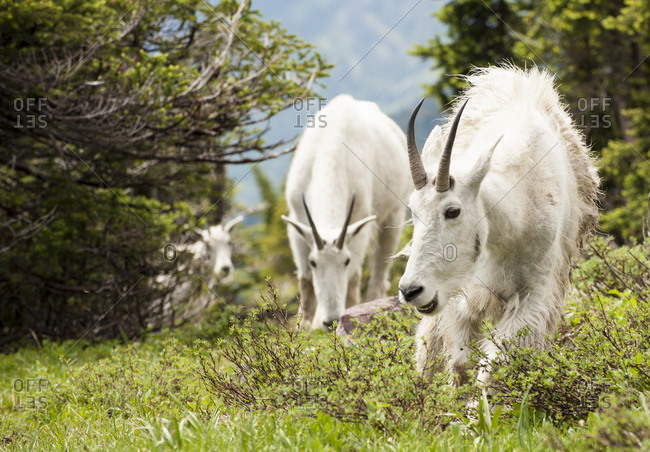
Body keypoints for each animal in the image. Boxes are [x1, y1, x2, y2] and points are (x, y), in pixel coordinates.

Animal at [283, 94, 411, 330]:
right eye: (314, 262)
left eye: (346, 261)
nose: (331, 320)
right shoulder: (297, 222)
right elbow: (305, 280)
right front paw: (304, 325)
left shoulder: (360, 222)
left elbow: (353, 277)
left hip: (393, 213)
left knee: (380, 266)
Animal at [398, 66, 599, 385]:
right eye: (413, 210)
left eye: (452, 211)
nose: (410, 290)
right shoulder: (462, 294)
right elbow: (460, 361)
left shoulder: (534, 296)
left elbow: (492, 365)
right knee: (429, 341)